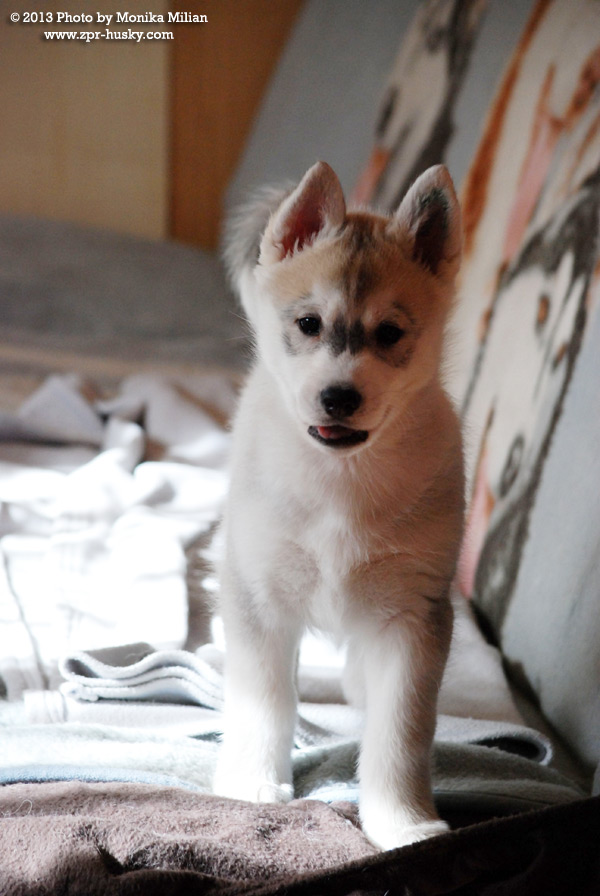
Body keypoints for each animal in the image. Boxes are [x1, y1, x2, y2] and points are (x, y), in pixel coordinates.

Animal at [213, 161, 464, 851]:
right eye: (308, 325)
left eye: (390, 333)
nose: (338, 398)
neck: (340, 482)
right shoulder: (259, 595)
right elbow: (264, 701)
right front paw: (251, 783)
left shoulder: (415, 614)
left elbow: (402, 730)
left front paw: (401, 820)